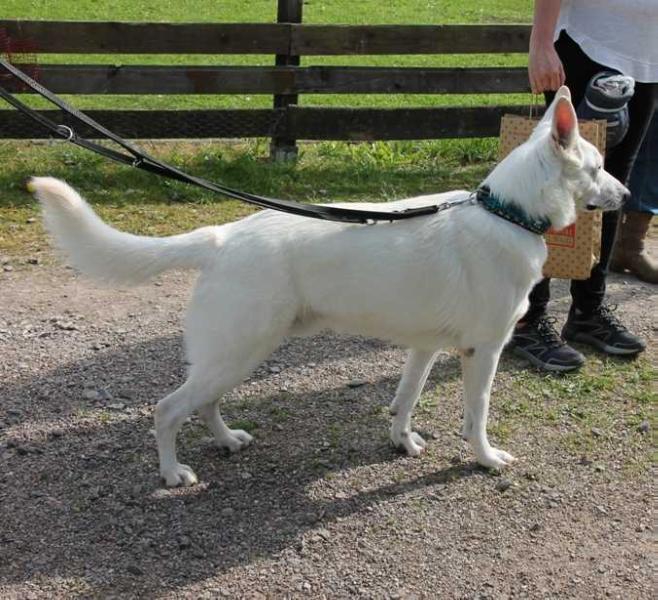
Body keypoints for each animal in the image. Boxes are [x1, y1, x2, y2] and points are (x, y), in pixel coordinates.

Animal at [29, 86, 624, 486]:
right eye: (597, 167)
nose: (623, 195)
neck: (507, 211)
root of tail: (222, 237)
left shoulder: (424, 349)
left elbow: (405, 400)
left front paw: (402, 440)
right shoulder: (483, 352)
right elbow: (475, 416)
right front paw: (484, 458)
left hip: (235, 354)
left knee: (202, 403)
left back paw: (226, 440)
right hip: (240, 351)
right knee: (167, 410)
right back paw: (174, 472)